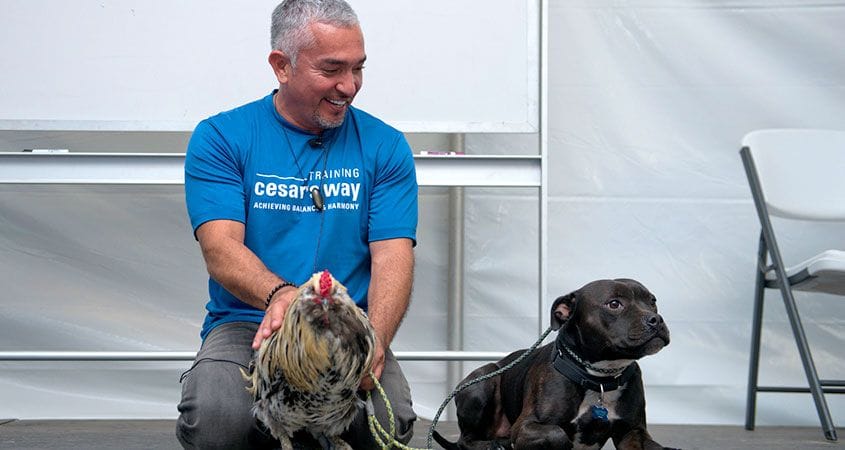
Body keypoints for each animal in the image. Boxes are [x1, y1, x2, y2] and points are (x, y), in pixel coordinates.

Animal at [436, 278, 672, 450]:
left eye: (652, 301)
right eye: (614, 304)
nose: (656, 319)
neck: (600, 377)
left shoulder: (633, 431)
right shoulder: (526, 426)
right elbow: (557, 434)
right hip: (483, 380)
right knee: (465, 440)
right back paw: (493, 445)